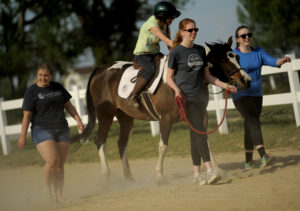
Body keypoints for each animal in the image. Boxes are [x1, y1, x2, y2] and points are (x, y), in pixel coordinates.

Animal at [71, 37, 252, 184]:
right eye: (224, 60)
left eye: (237, 57)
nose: (246, 80)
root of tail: (101, 69)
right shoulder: (166, 119)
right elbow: (163, 145)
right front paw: (159, 176)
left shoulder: (200, 115)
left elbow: (205, 140)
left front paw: (218, 170)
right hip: (105, 115)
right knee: (100, 140)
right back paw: (107, 177)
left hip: (125, 118)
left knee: (122, 143)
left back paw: (129, 178)